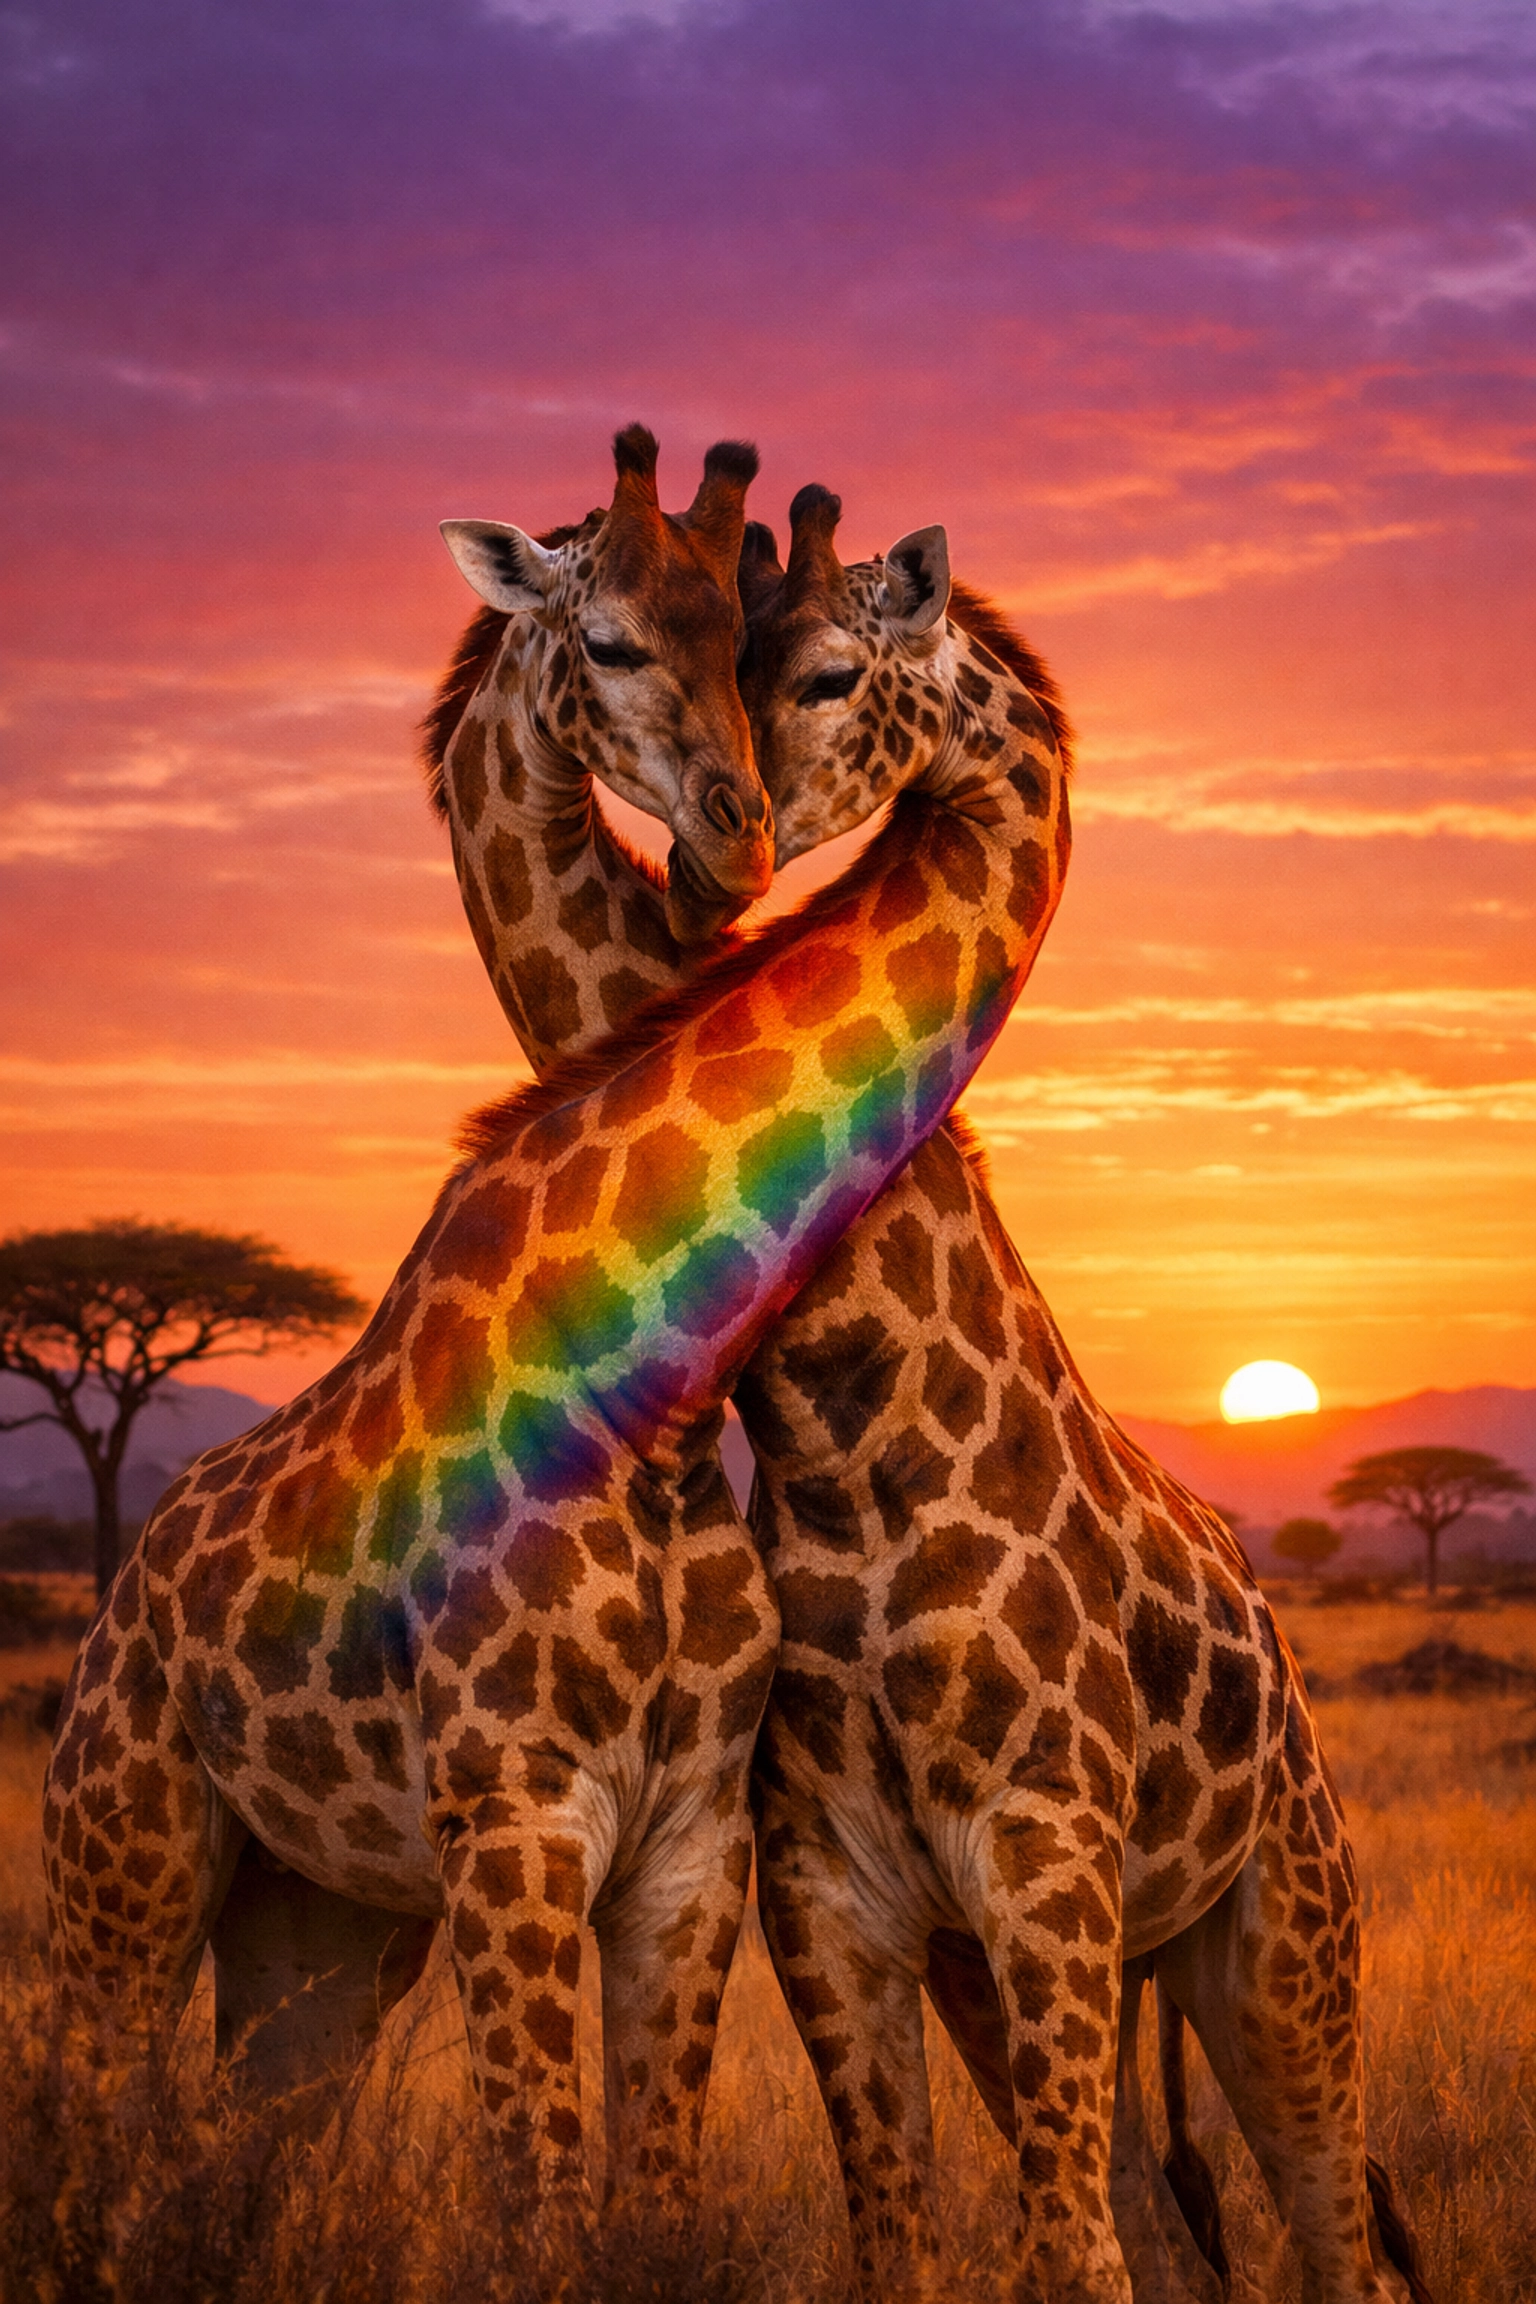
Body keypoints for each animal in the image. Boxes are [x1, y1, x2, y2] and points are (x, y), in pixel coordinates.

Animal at [40, 573, 1066, 2213]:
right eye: (621, 638)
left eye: (797, 658)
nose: (732, 844)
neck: (650, 1398)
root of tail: (119, 1597)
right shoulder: (516, 1815)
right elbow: (540, 2202)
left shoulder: (691, 1837)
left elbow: (644, 2198)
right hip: (124, 1851)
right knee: (89, 2125)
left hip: (321, 1918)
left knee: (239, 2151)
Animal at [430, 481, 1427, 2302]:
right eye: (627, 640)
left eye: (817, 668)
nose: (725, 857)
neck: (846, 1424)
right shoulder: (842, 1897)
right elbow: (925, 2244)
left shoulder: (1045, 1855)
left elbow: (1071, 2259)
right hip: (1097, 1967)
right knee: (1179, 2228)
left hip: (1282, 1945)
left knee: (1338, 2244)